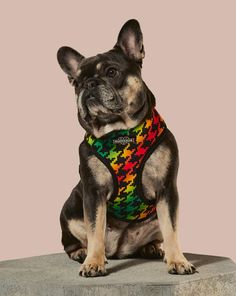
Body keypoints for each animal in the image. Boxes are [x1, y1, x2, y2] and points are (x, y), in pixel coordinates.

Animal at [56, 19, 195, 278]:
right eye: (76, 83)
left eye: (111, 72)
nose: (88, 84)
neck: (120, 132)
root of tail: (119, 250)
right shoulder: (93, 192)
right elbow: (94, 230)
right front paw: (93, 262)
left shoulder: (167, 189)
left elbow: (171, 229)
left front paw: (178, 260)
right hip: (69, 208)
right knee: (73, 240)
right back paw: (81, 252)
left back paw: (152, 248)